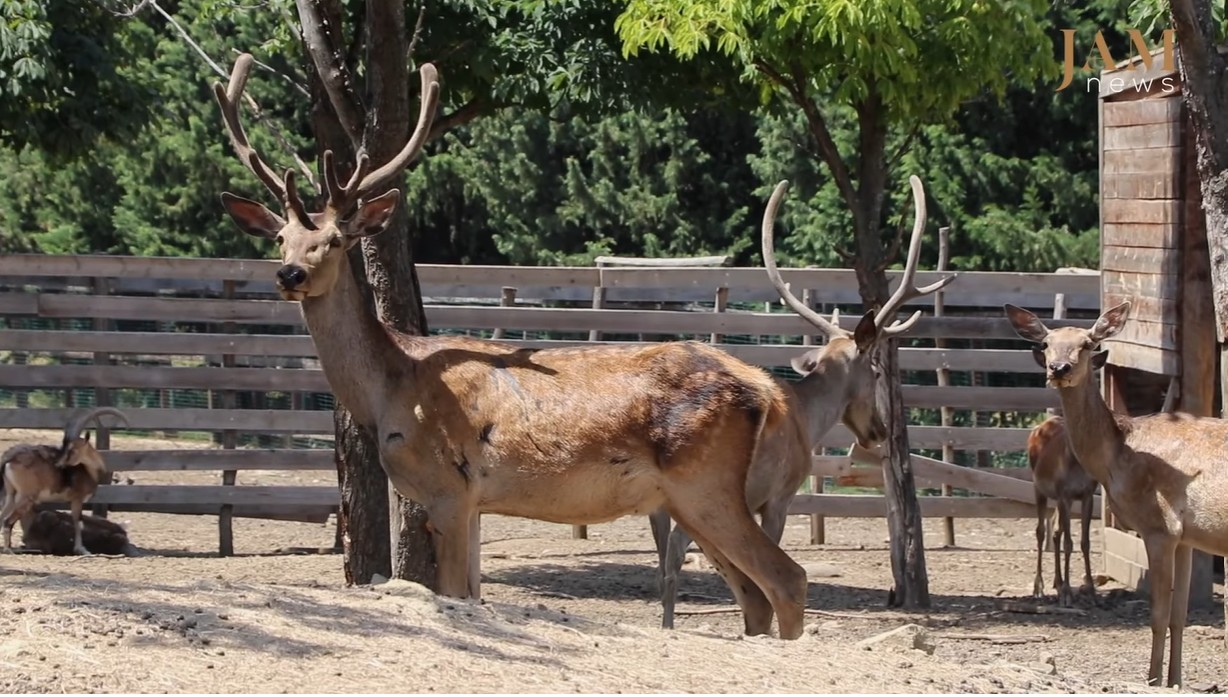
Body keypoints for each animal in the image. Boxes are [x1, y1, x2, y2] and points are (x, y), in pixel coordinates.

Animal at [1, 406, 129, 556]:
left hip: (10, 494)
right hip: (25, 496)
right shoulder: (77, 499)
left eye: (72, 449)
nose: (59, 464)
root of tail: (9, 459)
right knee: (7, 520)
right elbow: (78, 522)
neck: (88, 470)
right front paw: (82, 549)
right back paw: (8, 549)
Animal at [211, 52, 809, 639]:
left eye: (334, 240)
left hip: (705, 481)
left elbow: (453, 594)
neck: (389, 392)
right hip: (687, 498)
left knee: (787, 578)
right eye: (280, 238)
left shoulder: (449, 489)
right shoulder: (476, 501)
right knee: (753, 596)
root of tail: (769, 392)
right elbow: (473, 594)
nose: (290, 273)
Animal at [649, 176, 954, 629]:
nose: (879, 429)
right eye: (875, 371)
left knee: (665, 559)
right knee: (675, 554)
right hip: (704, 488)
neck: (808, 420)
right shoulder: (779, 493)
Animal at [1026, 414, 1098, 607]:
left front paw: (1091, 590)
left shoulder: (1087, 494)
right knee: (1040, 531)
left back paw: (1057, 583)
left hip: (1059, 498)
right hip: (1039, 488)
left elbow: (1085, 542)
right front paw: (1067, 593)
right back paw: (1039, 587)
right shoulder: (1064, 494)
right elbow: (1068, 544)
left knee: (1056, 530)